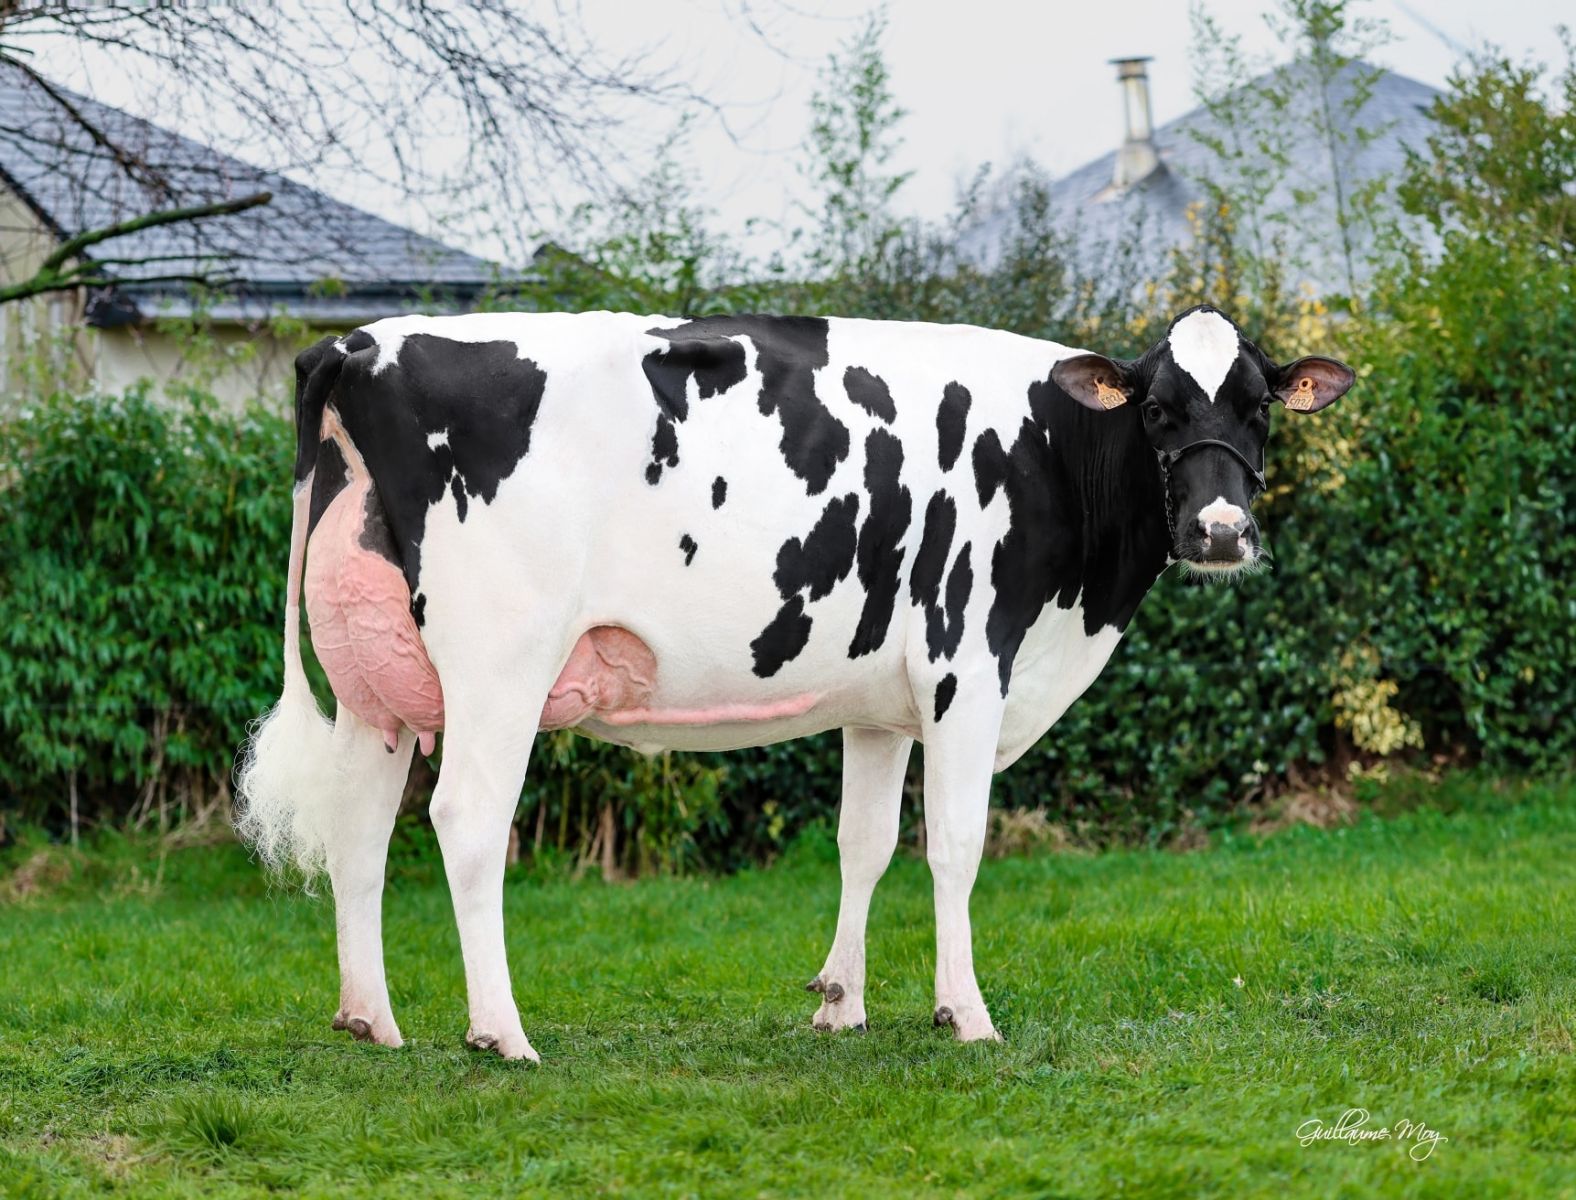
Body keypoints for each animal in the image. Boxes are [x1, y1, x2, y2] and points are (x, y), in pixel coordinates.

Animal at [237, 305, 1353, 1061]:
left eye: (1259, 408)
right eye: (1157, 411)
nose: (1220, 531)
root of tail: (356, 343)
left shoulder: (880, 706)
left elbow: (864, 846)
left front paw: (840, 1005)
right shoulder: (966, 666)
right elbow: (954, 846)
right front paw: (965, 1013)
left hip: (377, 682)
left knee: (357, 832)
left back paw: (371, 1020)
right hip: (499, 664)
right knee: (466, 824)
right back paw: (501, 1033)